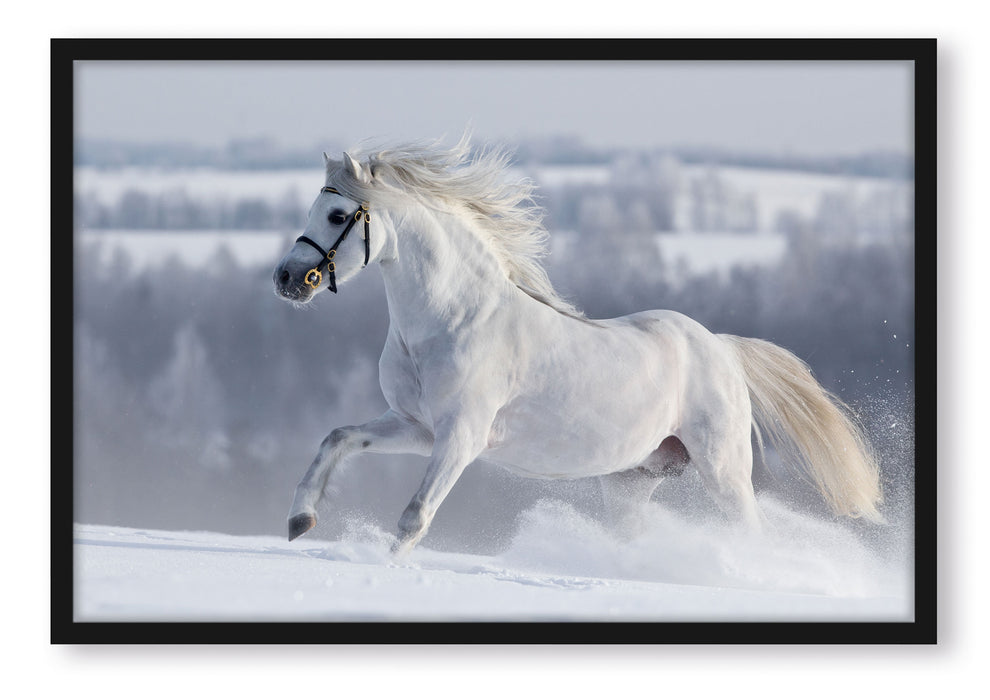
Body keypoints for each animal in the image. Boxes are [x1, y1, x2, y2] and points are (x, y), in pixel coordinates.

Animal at [272, 137, 884, 555]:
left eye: (336, 214)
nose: (287, 278)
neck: (452, 322)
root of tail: (722, 350)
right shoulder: (417, 428)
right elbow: (337, 438)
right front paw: (300, 522)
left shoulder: (462, 436)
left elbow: (415, 516)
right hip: (633, 480)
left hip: (724, 471)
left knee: (749, 531)